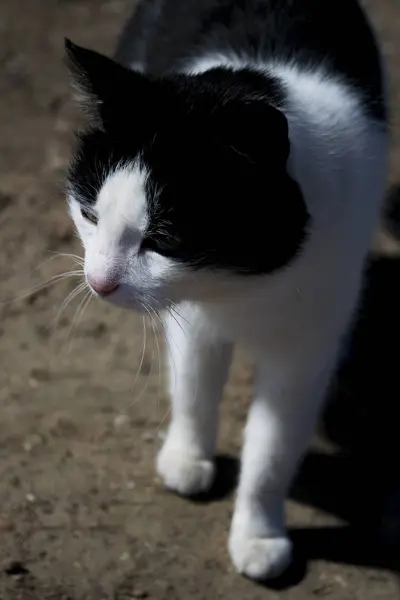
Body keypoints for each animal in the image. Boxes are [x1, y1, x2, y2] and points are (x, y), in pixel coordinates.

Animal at [65, 0, 388, 580]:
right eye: (89, 215)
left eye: (164, 240)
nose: (99, 283)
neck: (241, 287)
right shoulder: (194, 322)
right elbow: (194, 388)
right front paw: (188, 457)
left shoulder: (305, 348)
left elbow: (273, 448)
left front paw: (259, 535)